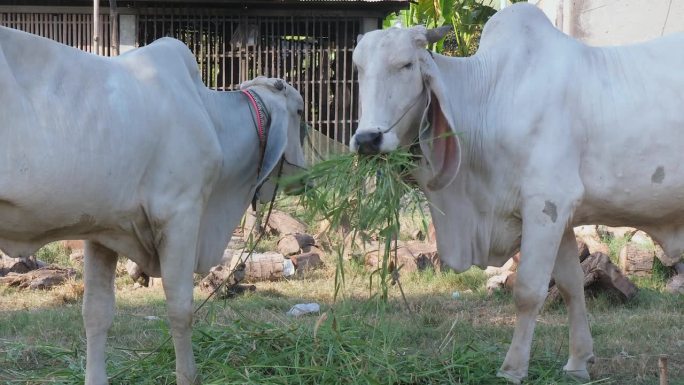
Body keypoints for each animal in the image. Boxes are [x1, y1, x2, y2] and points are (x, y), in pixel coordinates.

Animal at [0, 27, 304, 384]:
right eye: (301, 112)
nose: (306, 176)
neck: (211, 117)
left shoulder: (102, 230)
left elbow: (96, 312)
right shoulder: (181, 215)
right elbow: (181, 309)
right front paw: (188, 375)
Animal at [352, 2, 684, 380]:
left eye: (406, 65)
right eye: (358, 69)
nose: (367, 139)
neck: (492, 99)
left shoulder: (546, 203)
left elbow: (529, 290)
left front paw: (512, 368)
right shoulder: (561, 217)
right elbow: (571, 285)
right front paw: (578, 362)